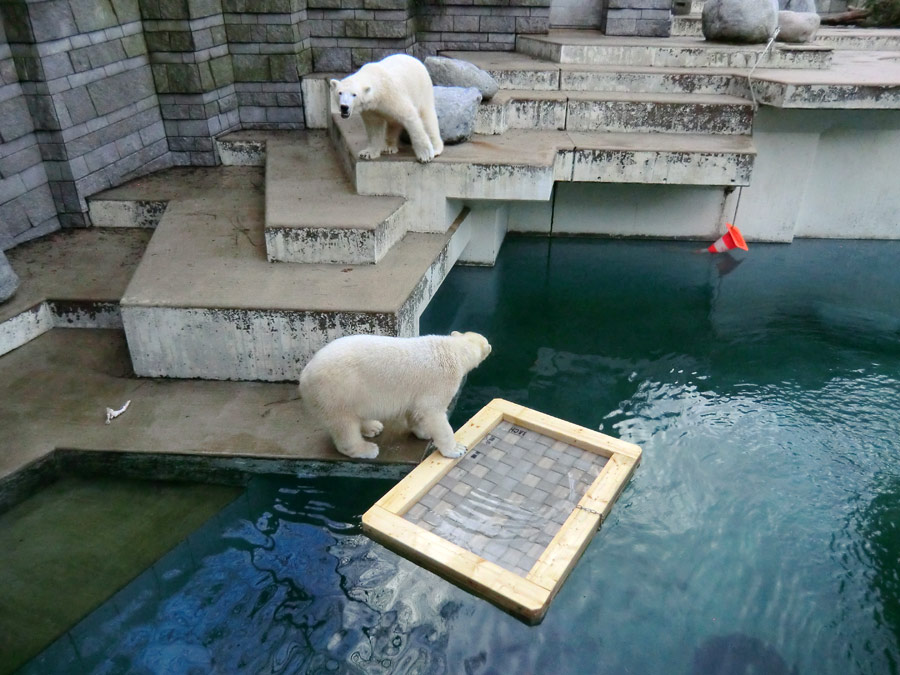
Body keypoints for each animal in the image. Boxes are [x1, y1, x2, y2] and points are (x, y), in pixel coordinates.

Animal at [298, 332, 492, 460]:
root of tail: (304, 375)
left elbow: (416, 411)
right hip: (337, 391)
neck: (453, 349)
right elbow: (432, 412)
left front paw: (424, 432)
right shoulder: (440, 382)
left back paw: (373, 427)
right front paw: (456, 449)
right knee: (344, 425)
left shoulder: (418, 389)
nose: (490, 346)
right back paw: (367, 449)